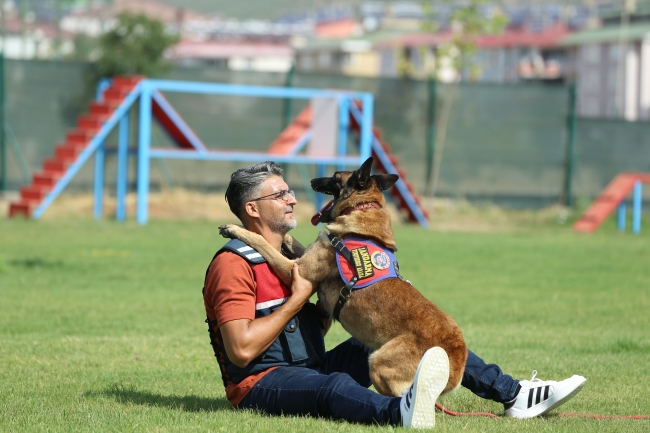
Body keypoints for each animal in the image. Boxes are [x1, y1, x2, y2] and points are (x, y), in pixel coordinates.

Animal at [219, 157, 466, 396]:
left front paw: (235, 228)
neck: (361, 209)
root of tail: (456, 363)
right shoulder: (305, 255)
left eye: (336, 177)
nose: (312, 180)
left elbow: (262, 241)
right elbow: (289, 239)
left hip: (378, 364)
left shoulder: (295, 269)